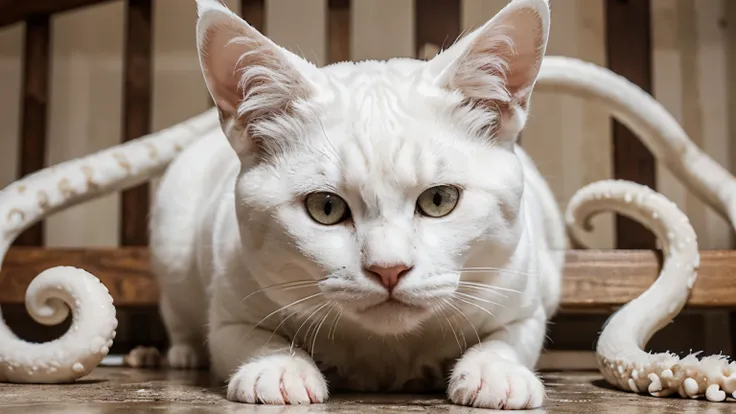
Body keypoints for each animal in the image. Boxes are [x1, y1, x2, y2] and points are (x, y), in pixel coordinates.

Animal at [148, 0, 564, 410]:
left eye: (439, 200)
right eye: (326, 207)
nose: (389, 269)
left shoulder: (524, 299)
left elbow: (505, 339)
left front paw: (495, 371)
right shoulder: (230, 312)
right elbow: (255, 337)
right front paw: (279, 369)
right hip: (173, 247)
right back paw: (181, 354)